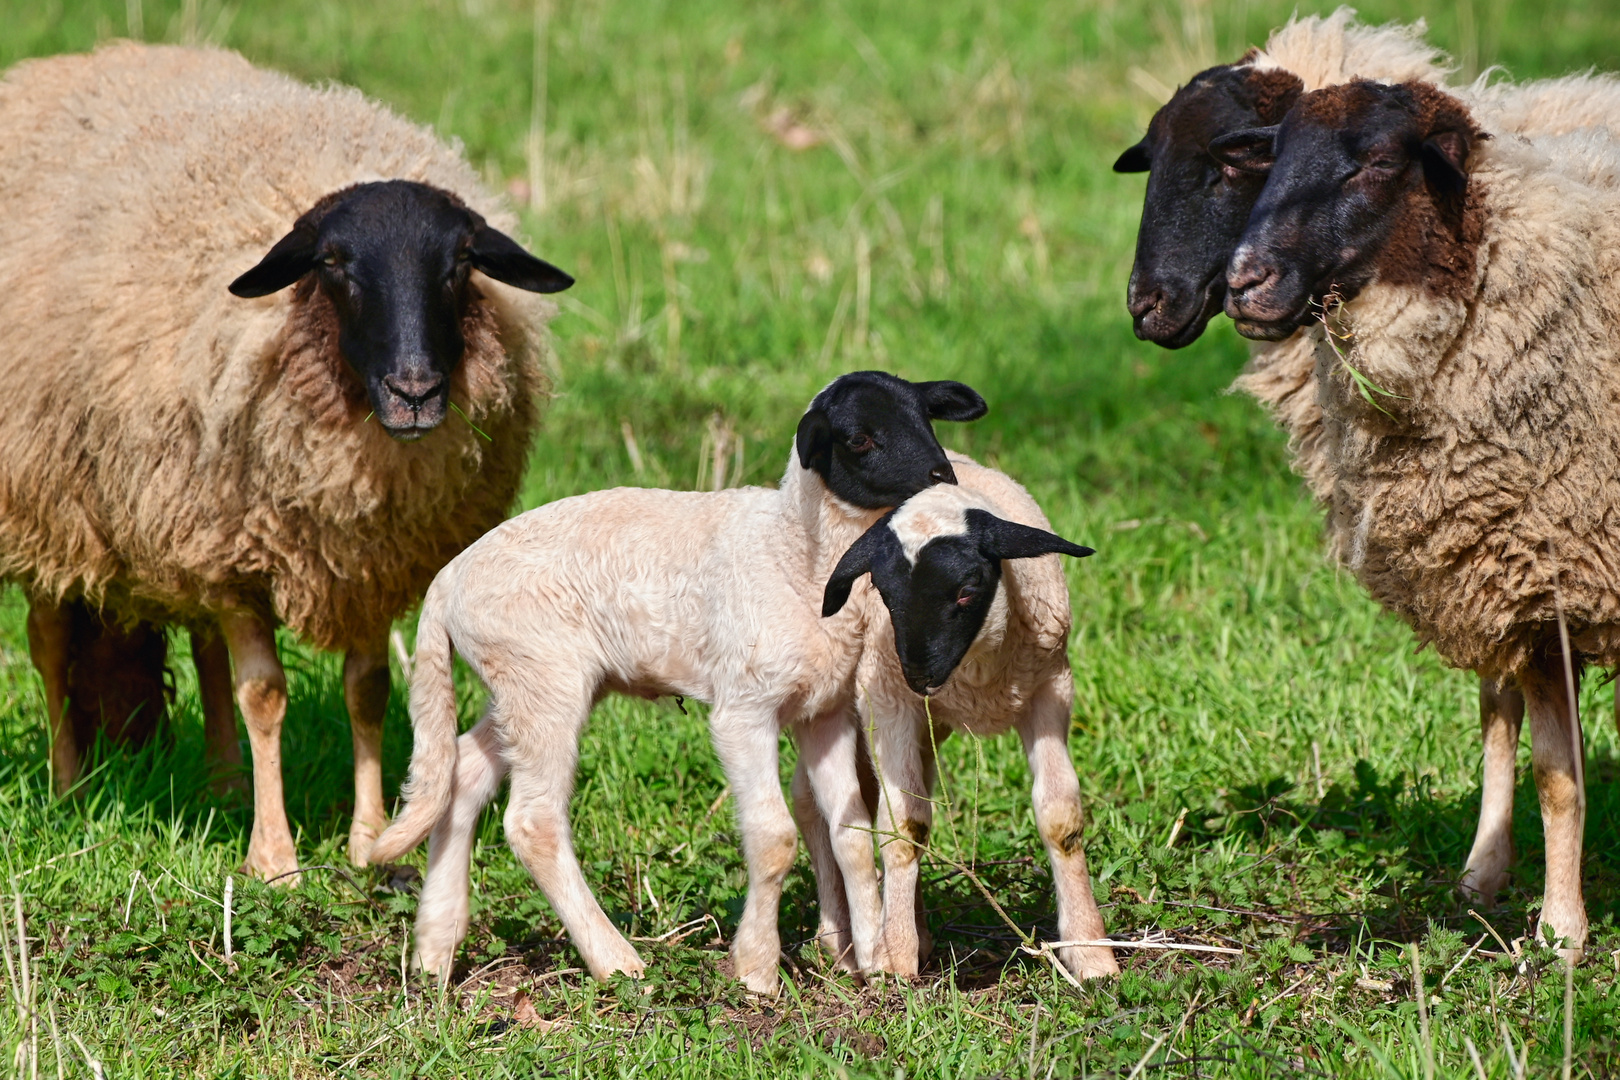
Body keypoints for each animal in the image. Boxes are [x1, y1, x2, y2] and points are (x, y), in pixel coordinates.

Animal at [0, 46, 573, 880]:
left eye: (460, 263)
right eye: (336, 265)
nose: (415, 392)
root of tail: (61, 63)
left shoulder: (366, 559)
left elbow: (367, 689)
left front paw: (370, 837)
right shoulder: (239, 547)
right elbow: (265, 694)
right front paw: (273, 859)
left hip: (175, 530)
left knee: (203, 648)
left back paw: (225, 782)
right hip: (52, 505)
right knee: (47, 644)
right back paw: (69, 785)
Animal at [366, 374, 984, 997]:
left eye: (925, 416)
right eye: (859, 438)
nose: (942, 477)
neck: (794, 551)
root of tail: (445, 583)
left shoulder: (823, 712)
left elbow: (851, 834)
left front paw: (870, 962)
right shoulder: (744, 709)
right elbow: (774, 839)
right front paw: (757, 970)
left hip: (522, 683)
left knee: (462, 773)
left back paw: (434, 951)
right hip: (543, 679)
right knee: (532, 822)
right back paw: (616, 961)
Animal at [803, 453, 1121, 984]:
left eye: (968, 591)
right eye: (883, 591)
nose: (917, 671)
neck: (978, 671)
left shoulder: (1051, 688)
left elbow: (1060, 817)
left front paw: (1092, 954)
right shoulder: (886, 697)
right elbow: (903, 827)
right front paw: (895, 960)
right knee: (813, 804)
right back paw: (841, 939)